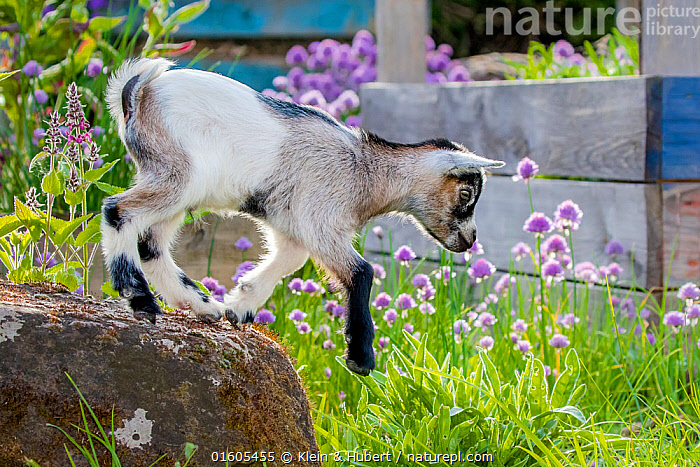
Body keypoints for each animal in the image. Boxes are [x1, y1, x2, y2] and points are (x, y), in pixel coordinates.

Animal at [103, 58, 504, 376]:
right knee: (118, 211)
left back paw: (202, 305)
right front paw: (361, 358)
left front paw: (240, 306)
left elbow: (288, 262)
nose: (470, 241)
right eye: (466, 194)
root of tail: (138, 91)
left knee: (150, 243)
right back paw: (140, 299)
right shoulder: (320, 221)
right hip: (178, 176)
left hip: (176, 184)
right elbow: (362, 272)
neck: (364, 171)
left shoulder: (292, 227)